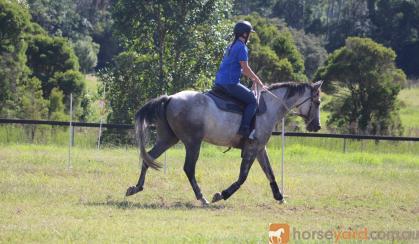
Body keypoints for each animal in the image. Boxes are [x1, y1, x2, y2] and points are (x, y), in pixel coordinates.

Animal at [126, 81, 324, 205]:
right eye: (318, 102)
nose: (317, 126)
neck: (269, 107)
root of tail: (170, 98)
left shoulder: (260, 149)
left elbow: (270, 173)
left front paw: (279, 196)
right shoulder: (252, 148)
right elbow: (242, 177)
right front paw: (222, 194)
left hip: (169, 139)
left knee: (148, 158)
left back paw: (136, 188)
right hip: (192, 143)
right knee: (189, 168)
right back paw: (202, 198)